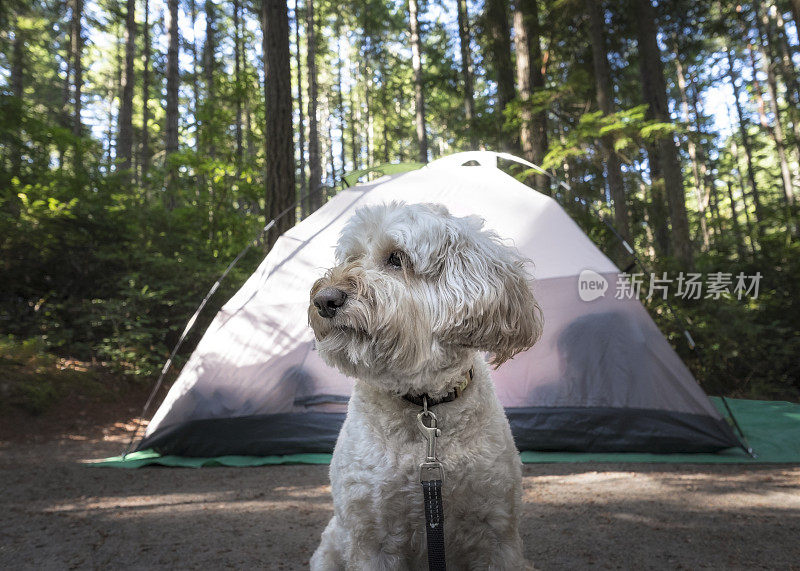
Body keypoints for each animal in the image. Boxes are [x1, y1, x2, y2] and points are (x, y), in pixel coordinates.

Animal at [310, 203, 540, 568]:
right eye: (351, 256)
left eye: (396, 258)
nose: (323, 300)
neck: (424, 403)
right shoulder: (371, 538)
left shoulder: (496, 533)